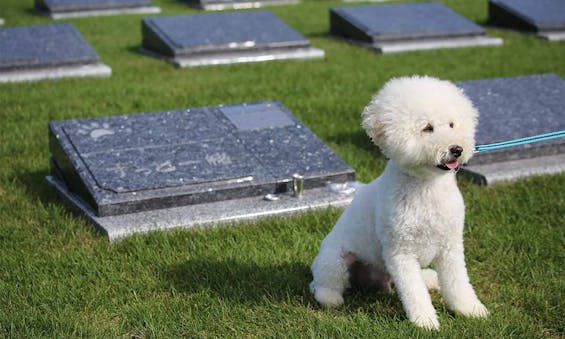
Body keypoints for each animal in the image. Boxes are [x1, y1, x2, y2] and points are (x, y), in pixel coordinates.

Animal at [310, 75, 486, 330]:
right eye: (427, 128)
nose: (457, 149)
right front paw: (425, 321)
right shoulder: (400, 252)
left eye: (452, 124)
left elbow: (458, 282)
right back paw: (329, 298)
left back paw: (430, 278)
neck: (426, 186)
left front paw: (470, 309)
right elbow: (414, 292)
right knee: (325, 282)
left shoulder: (450, 246)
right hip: (334, 258)